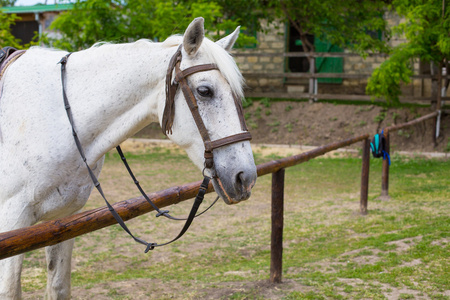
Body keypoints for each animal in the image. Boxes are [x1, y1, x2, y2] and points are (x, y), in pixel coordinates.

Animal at [0, 17, 256, 298]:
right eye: (204, 91)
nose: (245, 177)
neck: (57, 115)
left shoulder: (62, 221)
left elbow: (59, 287)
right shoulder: (12, 221)